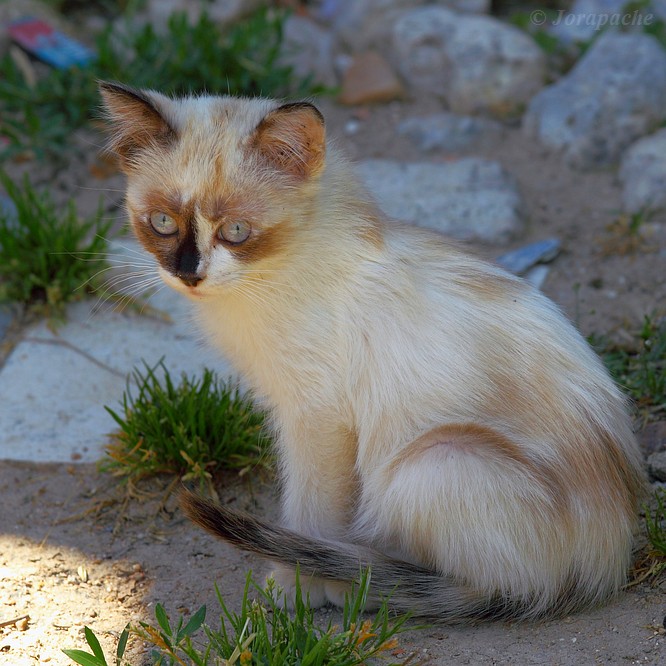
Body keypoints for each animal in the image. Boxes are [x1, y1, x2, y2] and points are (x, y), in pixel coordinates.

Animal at [100, 80, 644, 620]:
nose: (188, 274)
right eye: (162, 222)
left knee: (495, 588)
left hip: (433, 460)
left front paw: (298, 589)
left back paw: (366, 584)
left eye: (235, 231)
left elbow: (311, 515)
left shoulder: (317, 418)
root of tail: (606, 564)